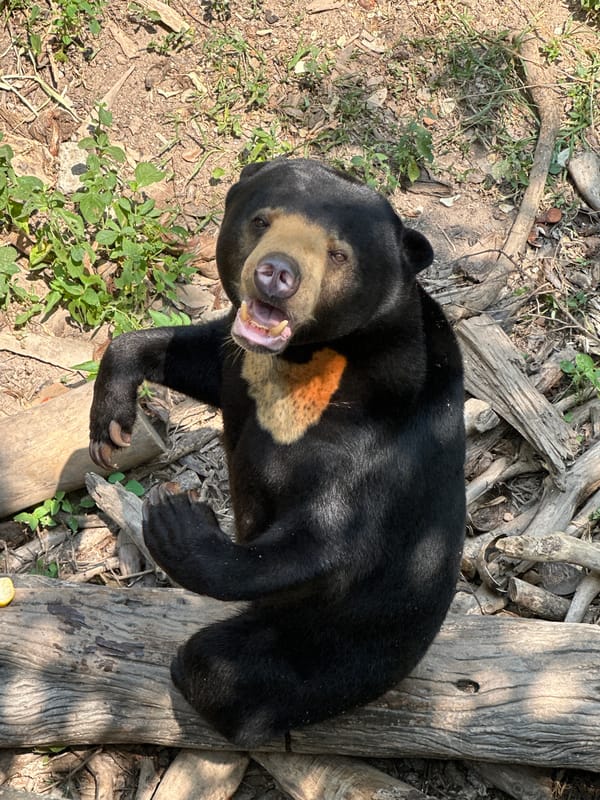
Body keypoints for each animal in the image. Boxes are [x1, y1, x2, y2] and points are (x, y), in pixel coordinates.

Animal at [89, 158, 466, 748]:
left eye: (338, 254)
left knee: (221, 668)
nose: (275, 275)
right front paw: (110, 427)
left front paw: (177, 516)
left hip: (341, 645)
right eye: (261, 221)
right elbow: (191, 353)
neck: (305, 361)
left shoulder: (378, 445)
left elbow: (323, 541)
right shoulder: (239, 363)